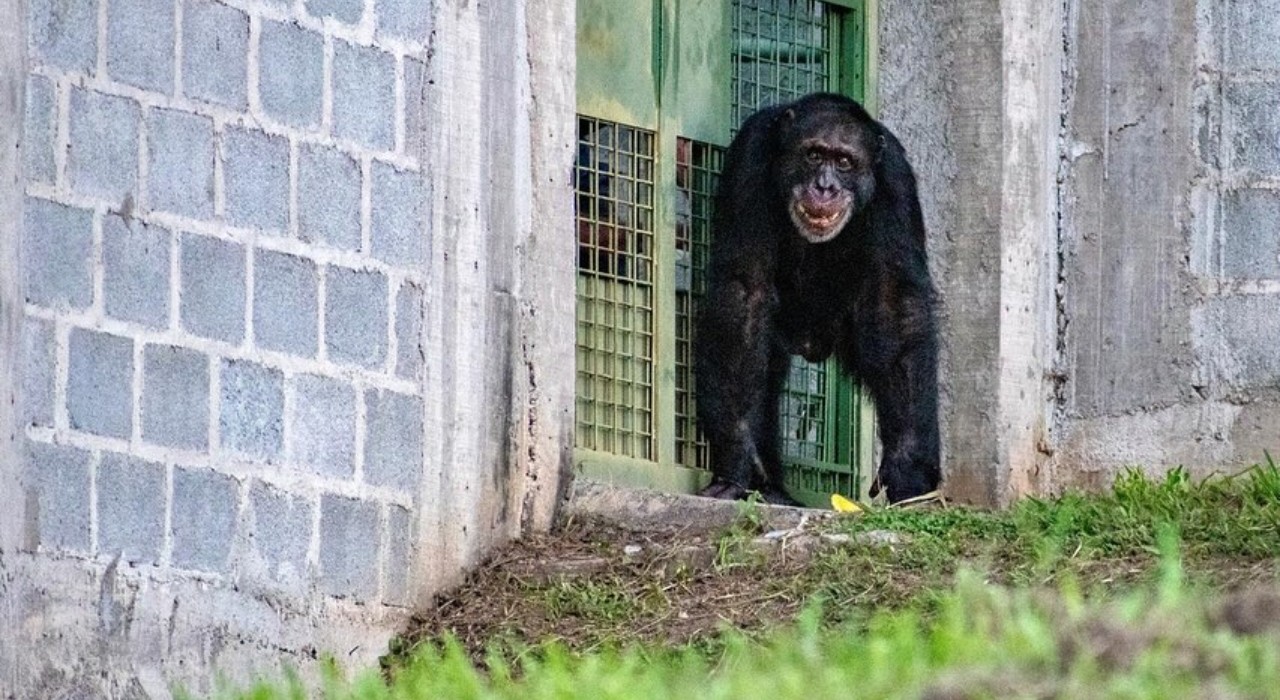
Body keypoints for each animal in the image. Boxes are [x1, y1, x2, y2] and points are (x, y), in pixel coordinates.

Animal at [701, 94, 942, 509]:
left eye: (844, 162)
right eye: (814, 155)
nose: (825, 186)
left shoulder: (895, 180)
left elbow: (895, 304)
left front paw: (907, 467)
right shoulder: (751, 155)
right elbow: (746, 291)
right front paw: (736, 460)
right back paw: (771, 488)